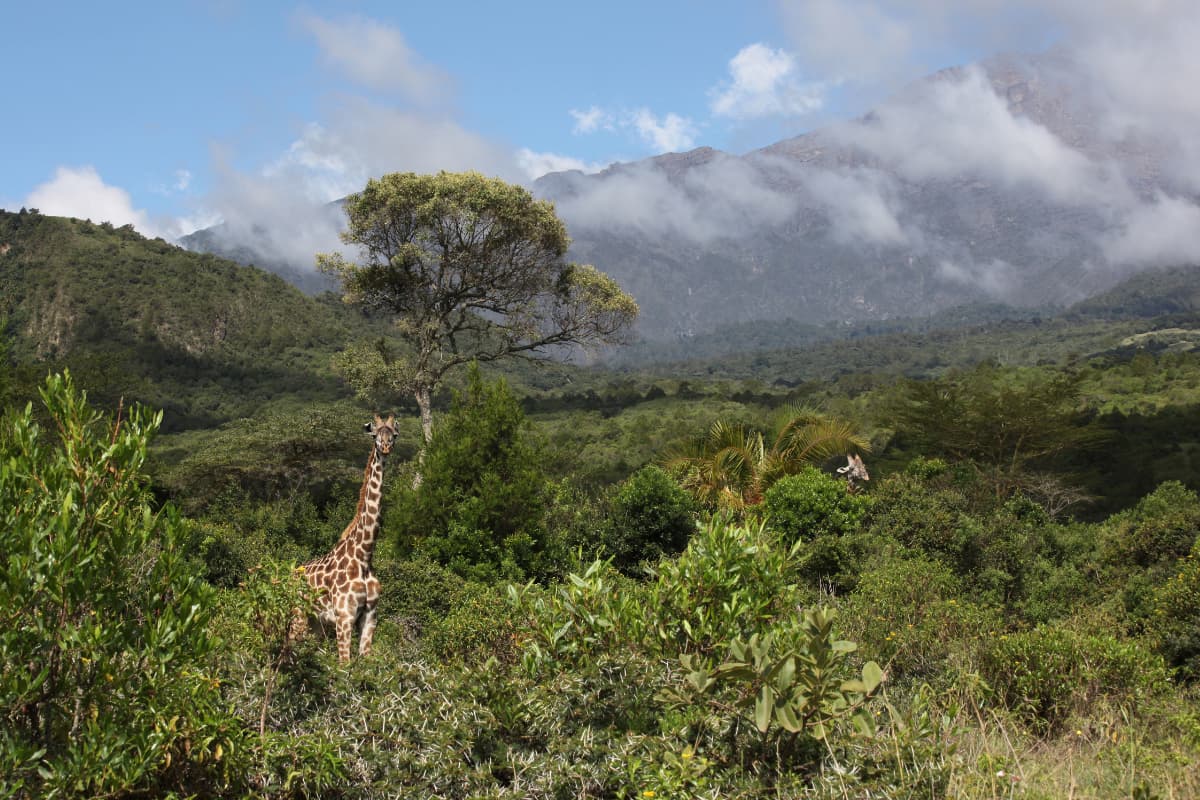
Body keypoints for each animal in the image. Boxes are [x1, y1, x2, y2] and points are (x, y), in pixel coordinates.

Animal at [296, 414, 395, 662]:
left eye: (394, 434)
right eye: (375, 433)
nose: (386, 447)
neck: (364, 556)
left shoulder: (370, 617)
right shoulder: (344, 617)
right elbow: (344, 664)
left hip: (315, 624)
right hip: (297, 615)